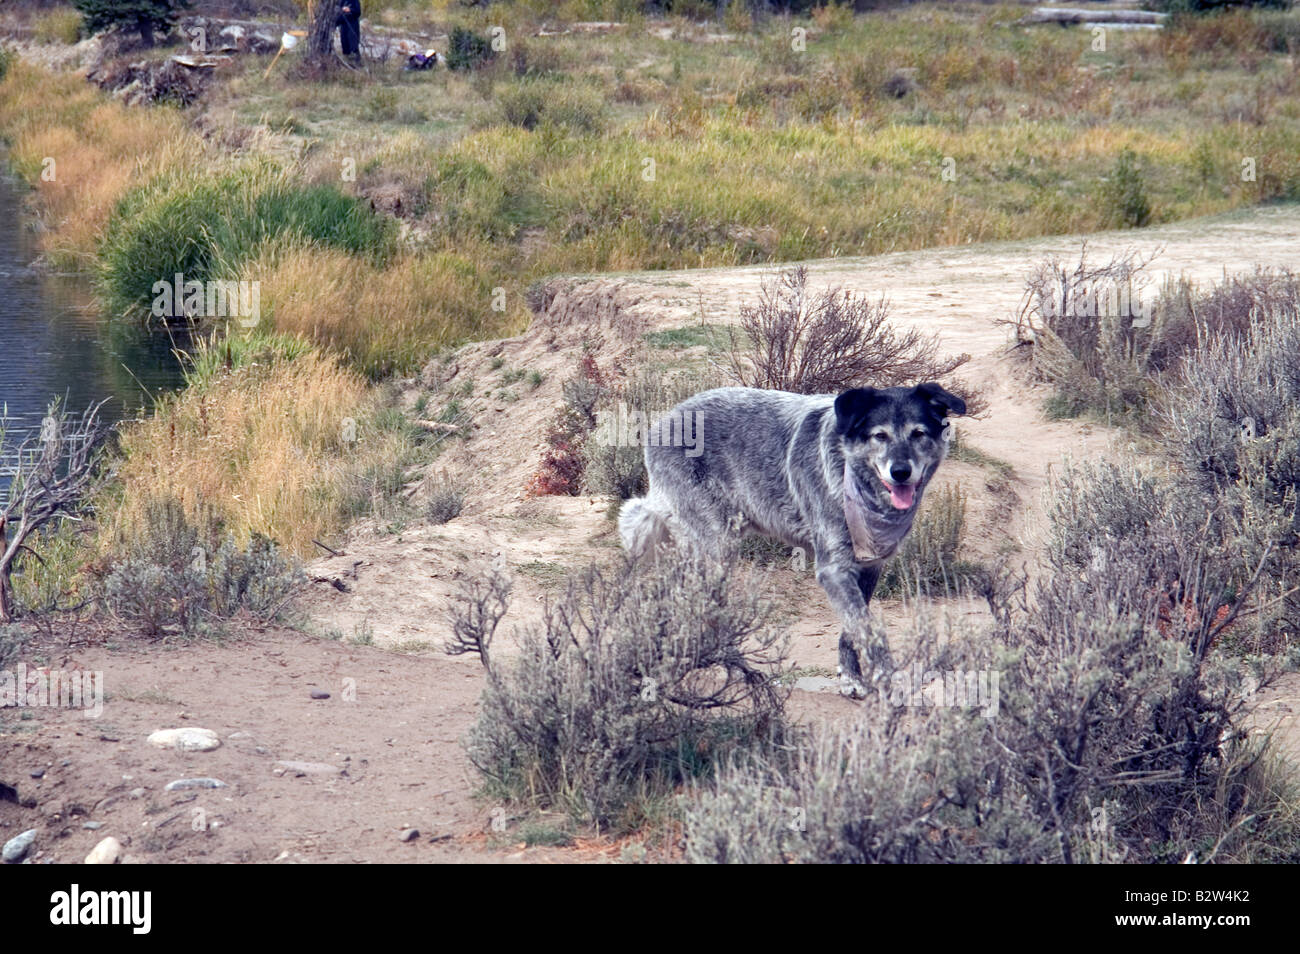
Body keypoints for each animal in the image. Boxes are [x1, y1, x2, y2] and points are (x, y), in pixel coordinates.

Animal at [618, 382, 967, 701]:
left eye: (918, 434)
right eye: (880, 436)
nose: (900, 472)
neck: (849, 472)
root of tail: (664, 420)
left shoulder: (868, 568)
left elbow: (853, 629)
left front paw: (851, 679)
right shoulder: (833, 570)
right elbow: (870, 632)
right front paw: (888, 683)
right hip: (717, 550)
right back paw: (729, 665)